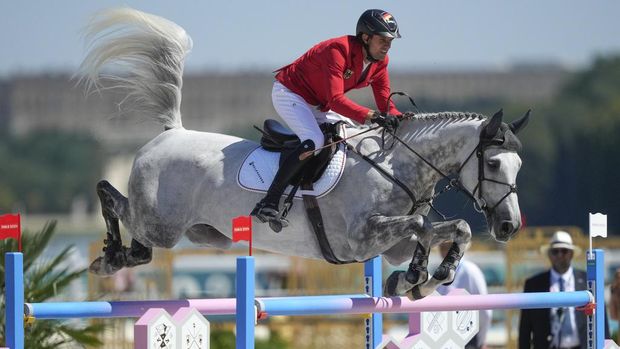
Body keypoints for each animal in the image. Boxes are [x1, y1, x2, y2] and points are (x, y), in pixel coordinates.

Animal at [81, 9, 528, 300]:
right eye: (492, 163)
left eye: (519, 166)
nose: (509, 226)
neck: (394, 167)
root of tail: (172, 133)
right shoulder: (360, 239)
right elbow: (422, 224)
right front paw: (421, 276)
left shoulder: (390, 245)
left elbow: (449, 228)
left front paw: (420, 279)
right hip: (160, 223)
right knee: (115, 202)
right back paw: (109, 257)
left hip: (205, 234)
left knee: (140, 242)